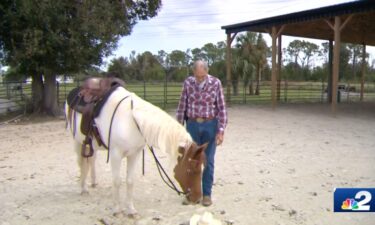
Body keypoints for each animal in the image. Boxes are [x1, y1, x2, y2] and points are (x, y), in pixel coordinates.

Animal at [67, 83, 209, 215]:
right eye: (191, 170)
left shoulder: (134, 154)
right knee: (81, 163)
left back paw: (93, 182)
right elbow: (117, 181)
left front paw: (131, 210)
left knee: (91, 160)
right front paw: (117, 209)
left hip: (92, 146)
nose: (197, 199)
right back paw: (84, 188)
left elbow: (130, 181)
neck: (131, 121)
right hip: (78, 142)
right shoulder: (115, 154)